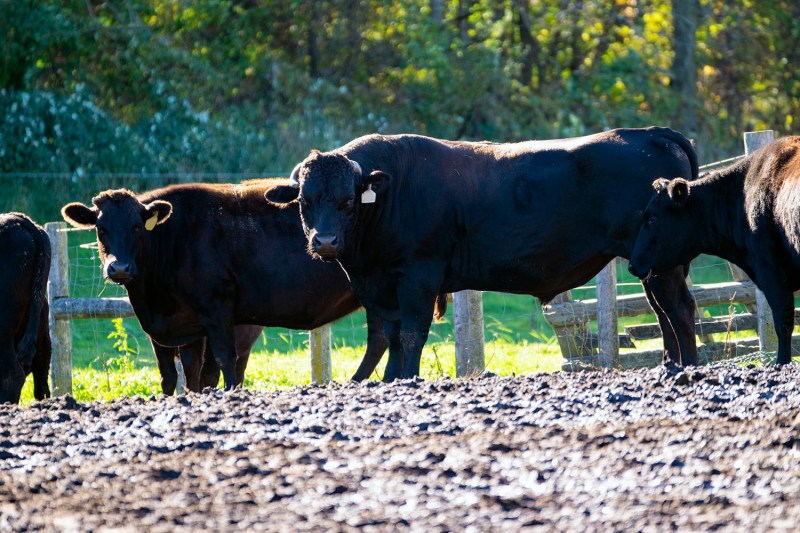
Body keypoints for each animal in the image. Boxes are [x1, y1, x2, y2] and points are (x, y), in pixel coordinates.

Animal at [62, 181, 400, 388]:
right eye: (100, 228)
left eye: (136, 226)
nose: (119, 267)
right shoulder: (178, 326)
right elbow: (180, 373)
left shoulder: (216, 308)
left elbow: (223, 361)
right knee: (381, 338)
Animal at [266, 127, 696, 380]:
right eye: (305, 200)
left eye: (347, 201)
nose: (325, 242)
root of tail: (647, 133)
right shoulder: (382, 286)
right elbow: (389, 334)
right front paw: (389, 380)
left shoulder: (418, 276)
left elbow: (411, 333)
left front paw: (406, 378)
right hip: (651, 263)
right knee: (662, 311)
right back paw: (670, 364)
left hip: (664, 263)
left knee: (678, 309)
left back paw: (686, 367)